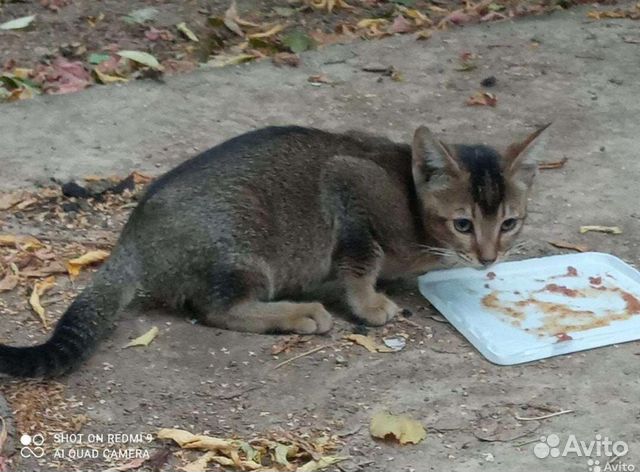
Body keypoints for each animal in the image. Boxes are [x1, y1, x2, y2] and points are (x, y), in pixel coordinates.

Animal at [0, 123, 552, 378]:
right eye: (462, 224)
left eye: (509, 223)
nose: (488, 258)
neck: (411, 201)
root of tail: (131, 239)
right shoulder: (349, 185)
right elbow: (360, 262)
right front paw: (369, 304)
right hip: (244, 253)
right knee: (219, 309)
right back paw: (298, 313)